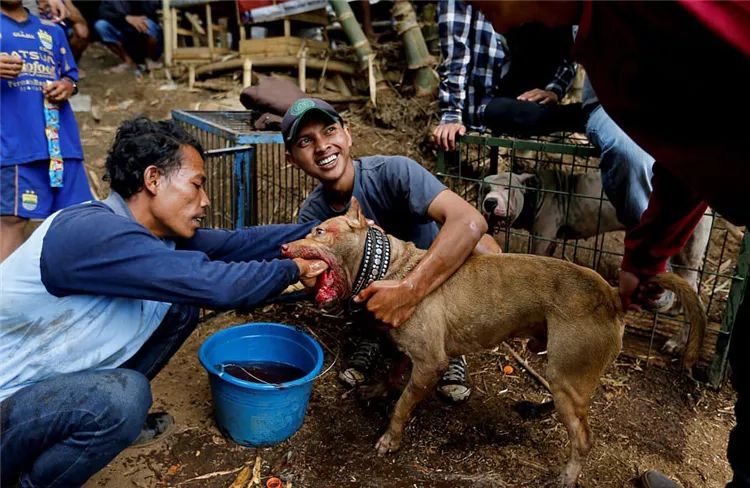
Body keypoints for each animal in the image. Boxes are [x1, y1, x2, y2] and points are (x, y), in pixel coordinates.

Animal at [280, 198, 704, 488]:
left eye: (319, 231)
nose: (283, 248)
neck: (392, 267)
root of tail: (613, 295)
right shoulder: (410, 350)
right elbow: (395, 370)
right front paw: (378, 388)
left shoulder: (430, 362)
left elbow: (401, 405)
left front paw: (390, 438)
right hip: (564, 371)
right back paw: (538, 410)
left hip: (569, 372)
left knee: (582, 437)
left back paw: (567, 474)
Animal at [484, 171, 712, 354]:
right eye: (484, 188)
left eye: (508, 188)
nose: (489, 202)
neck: (536, 193)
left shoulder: (543, 236)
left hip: (686, 253)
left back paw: (678, 341)